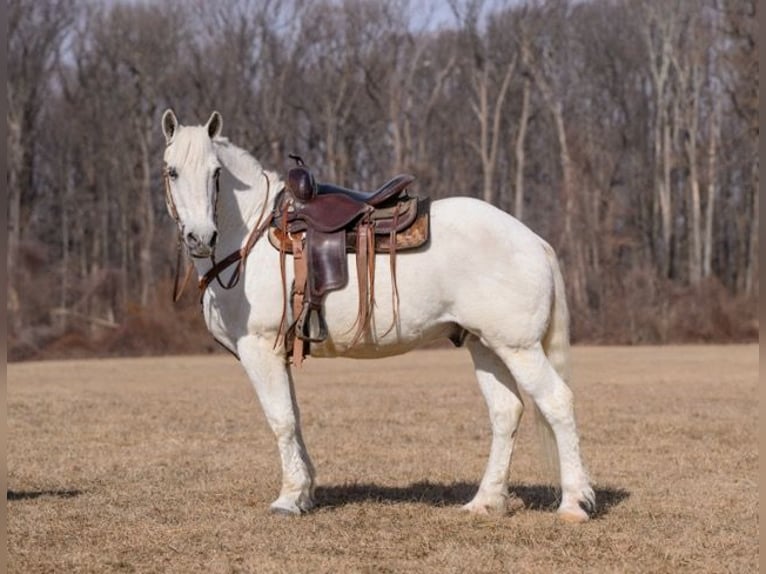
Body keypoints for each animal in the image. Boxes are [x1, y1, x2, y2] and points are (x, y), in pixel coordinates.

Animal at [159, 110, 596, 524]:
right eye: (172, 171)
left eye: (216, 172)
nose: (201, 238)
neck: (250, 231)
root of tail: (533, 239)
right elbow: (295, 417)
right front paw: (305, 493)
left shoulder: (260, 348)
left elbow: (280, 419)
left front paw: (288, 498)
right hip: (485, 345)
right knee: (506, 412)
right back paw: (485, 502)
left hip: (519, 347)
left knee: (557, 402)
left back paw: (574, 503)